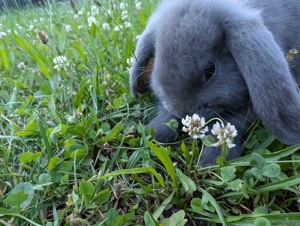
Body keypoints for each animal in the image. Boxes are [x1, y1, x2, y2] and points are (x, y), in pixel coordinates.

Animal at [130, 0, 300, 166]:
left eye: (210, 70)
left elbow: (230, 124)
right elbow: (166, 115)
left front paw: (211, 161)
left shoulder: (247, 108)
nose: (183, 112)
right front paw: (152, 134)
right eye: (157, 62)